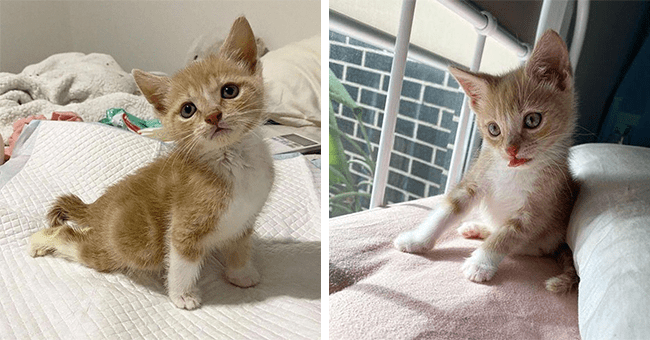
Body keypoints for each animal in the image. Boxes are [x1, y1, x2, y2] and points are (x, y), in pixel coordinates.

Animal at [29, 17, 274, 310]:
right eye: (188, 110)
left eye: (229, 91)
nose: (214, 116)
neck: (232, 161)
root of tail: (96, 207)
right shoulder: (183, 225)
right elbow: (181, 262)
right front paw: (182, 295)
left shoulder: (244, 219)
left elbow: (239, 247)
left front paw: (240, 274)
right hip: (128, 246)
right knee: (70, 238)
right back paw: (40, 241)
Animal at [394, 30, 576, 294]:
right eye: (494, 129)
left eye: (533, 120)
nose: (511, 151)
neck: (513, 171)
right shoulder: (476, 178)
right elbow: (447, 210)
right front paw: (418, 239)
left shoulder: (539, 205)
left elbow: (508, 234)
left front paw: (481, 263)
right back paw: (477, 228)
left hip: (546, 237)